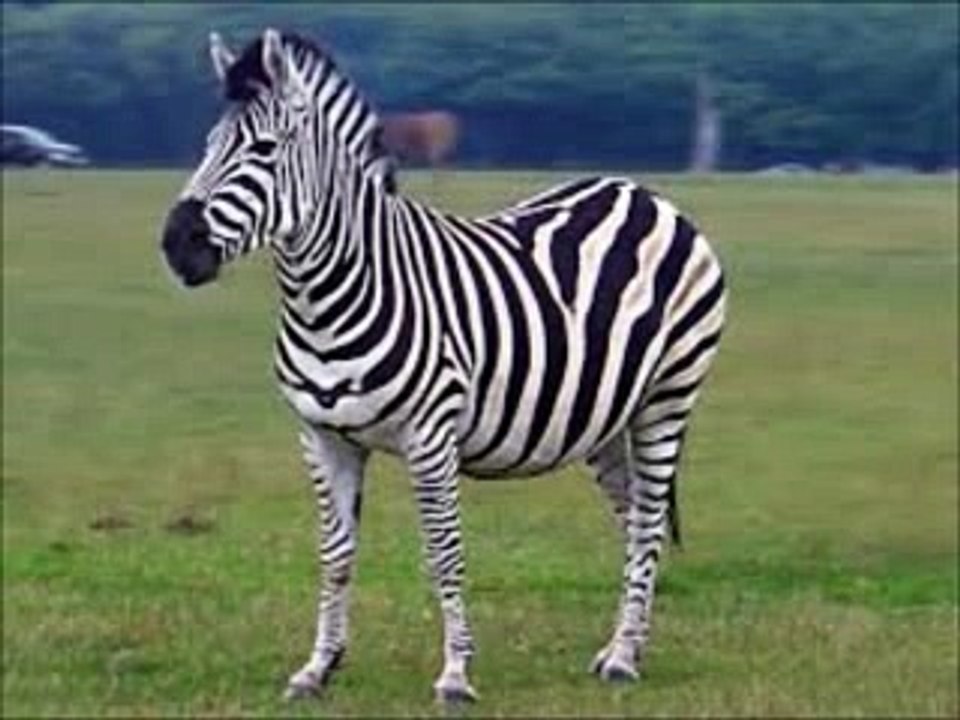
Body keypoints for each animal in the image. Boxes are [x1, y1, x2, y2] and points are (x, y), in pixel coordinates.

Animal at [160, 29, 726, 704]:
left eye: (264, 149)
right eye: (207, 147)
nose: (176, 245)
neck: (329, 297)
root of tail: (640, 192)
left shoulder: (429, 436)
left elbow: (443, 553)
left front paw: (455, 674)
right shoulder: (322, 437)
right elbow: (335, 554)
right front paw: (317, 668)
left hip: (669, 395)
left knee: (647, 520)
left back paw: (621, 660)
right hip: (607, 418)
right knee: (635, 516)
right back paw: (625, 646)